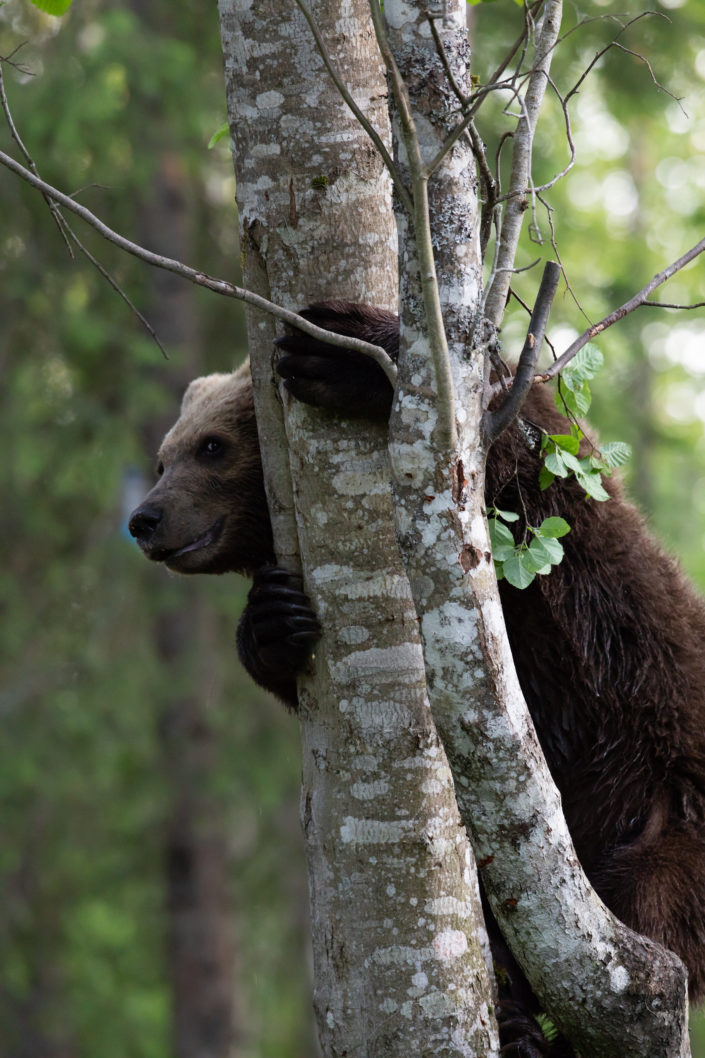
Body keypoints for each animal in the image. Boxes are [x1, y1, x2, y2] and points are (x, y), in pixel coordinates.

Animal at [129, 302, 702, 1053]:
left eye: (212, 447)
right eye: (166, 456)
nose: (146, 517)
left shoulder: (569, 598)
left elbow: (528, 475)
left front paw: (343, 352)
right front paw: (271, 621)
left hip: (665, 798)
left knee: (649, 915)